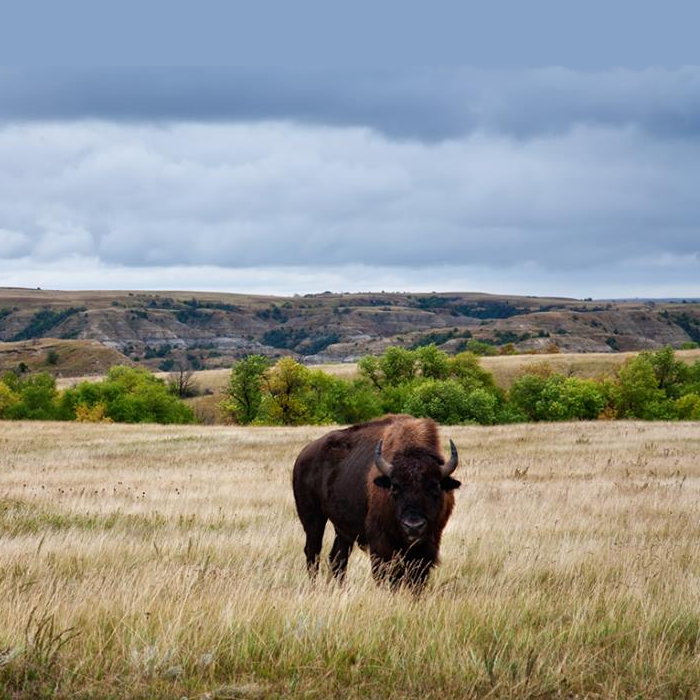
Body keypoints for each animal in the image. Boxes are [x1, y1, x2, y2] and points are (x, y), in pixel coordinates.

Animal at [292, 414, 461, 591]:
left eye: (435, 486)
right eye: (395, 487)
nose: (413, 526)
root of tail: (303, 455)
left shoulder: (430, 541)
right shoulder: (380, 542)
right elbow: (385, 573)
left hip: (342, 529)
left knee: (337, 558)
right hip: (313, 518)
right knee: (313, 552)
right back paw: (313, 586)